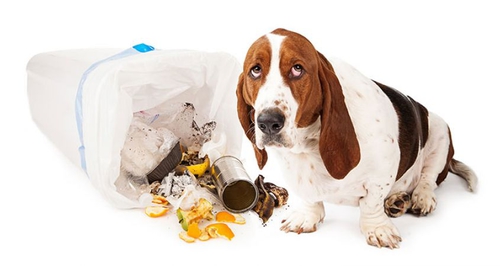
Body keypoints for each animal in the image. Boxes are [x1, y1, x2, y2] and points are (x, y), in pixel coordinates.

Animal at [236, 29, 478, 249]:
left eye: (297, 69)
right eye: (255, 70)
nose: (268, 122)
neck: (309, 142)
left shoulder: (382, 172)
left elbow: (371, 203)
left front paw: (377, 229)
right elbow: (309, 197)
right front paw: (307, 217)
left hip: (440, 132)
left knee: (428, 178)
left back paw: (420, 198)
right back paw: (397, 201)